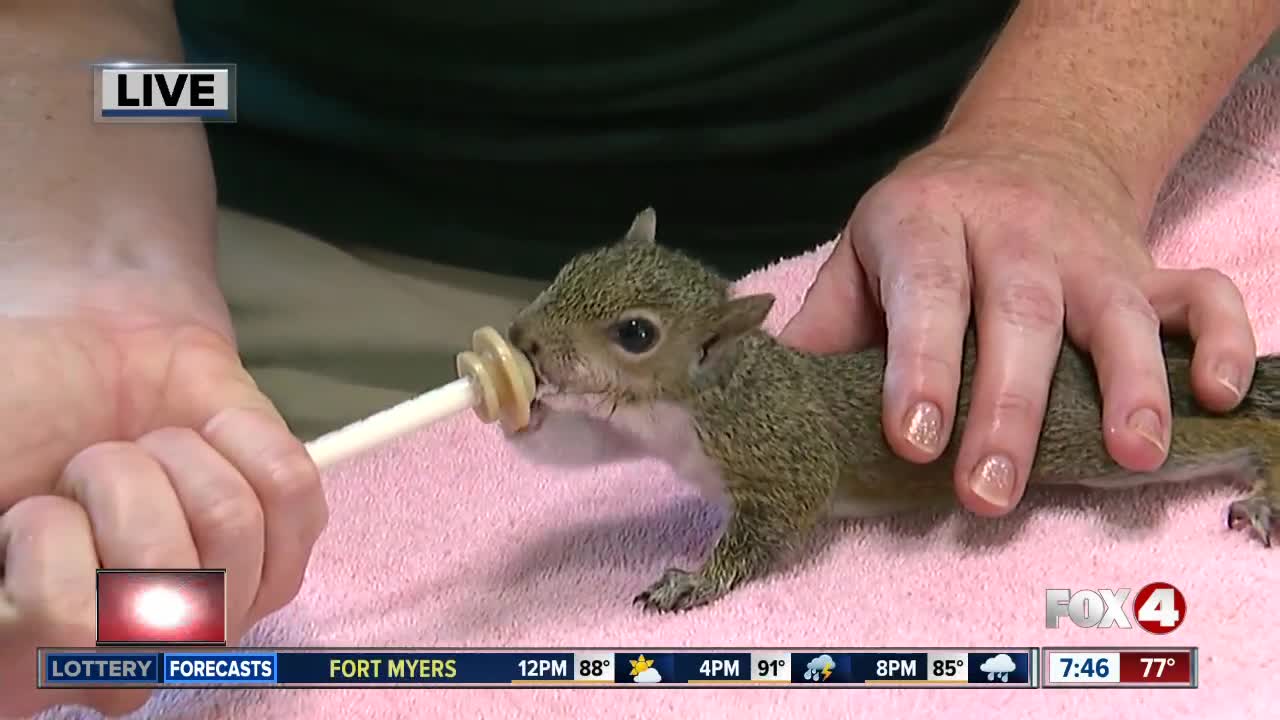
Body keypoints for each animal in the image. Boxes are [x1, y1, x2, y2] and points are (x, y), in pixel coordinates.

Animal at [501, 207, 1280, 609]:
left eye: (635, 333)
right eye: (570, 269)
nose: (522, 338)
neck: (702, 394)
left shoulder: (773, 444)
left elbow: (784, 512)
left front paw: (693, 580)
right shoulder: (634, 427)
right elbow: (577, 449)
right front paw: (521, 403)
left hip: (1092, 443)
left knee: (1237, 430)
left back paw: (1265, 484)